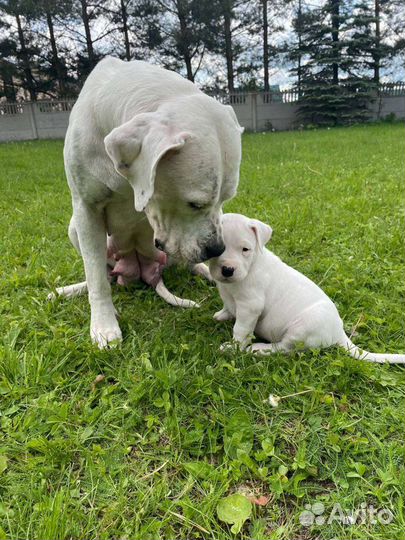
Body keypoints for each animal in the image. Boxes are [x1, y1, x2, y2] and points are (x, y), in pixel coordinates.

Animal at [62, 57, 240, 348]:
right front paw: (103, 324)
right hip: (74, 227)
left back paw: (206, 271)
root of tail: (143, 272)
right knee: (103, 272)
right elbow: (96, 277)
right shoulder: (86, 210)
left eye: (225, 199)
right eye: (194, 204)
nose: (216, 249)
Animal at [208, 213, 404, 364]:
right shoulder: (227, 294)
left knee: (285, 348)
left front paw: (233, 348)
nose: (227, 270)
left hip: (301, 329)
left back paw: (259, 349)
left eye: (245, 249)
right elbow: (227, 306)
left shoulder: (250, 306)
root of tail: (339, 332)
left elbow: (240, 330)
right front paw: (223, 314)